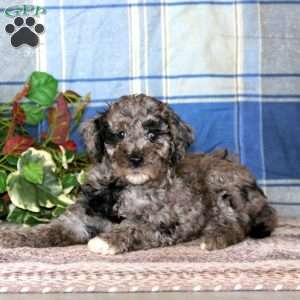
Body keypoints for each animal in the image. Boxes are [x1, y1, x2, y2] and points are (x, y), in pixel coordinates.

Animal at [0, 94, 278, 253]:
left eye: (153, 135)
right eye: (119, 134)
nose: (136, 159)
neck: (121, 186)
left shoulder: (164, 222)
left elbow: (135, 227)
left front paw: (108, 240)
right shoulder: (80, 219)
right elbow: (48, 230)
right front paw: (14, 236)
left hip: (222, 186)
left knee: (238, 224)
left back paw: (215, 238)